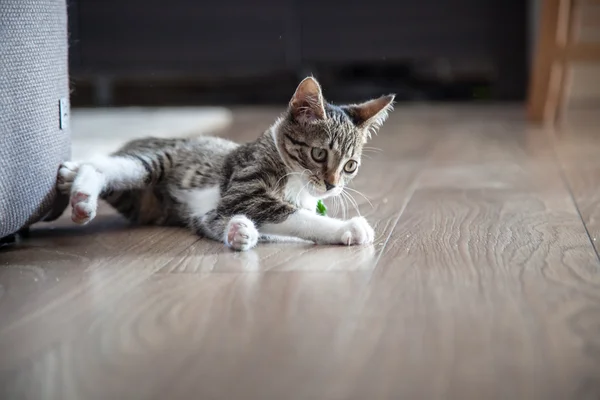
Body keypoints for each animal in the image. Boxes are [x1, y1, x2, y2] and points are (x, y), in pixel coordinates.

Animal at [55, 77, 394, 252]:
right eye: (319, 154)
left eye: (350, 165)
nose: (332, 185)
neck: (296, 183)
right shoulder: (244, 187)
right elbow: (296, 217)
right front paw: (348, 227)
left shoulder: (214, 211)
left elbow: (223, 221)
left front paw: (238, 231)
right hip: (158, 160)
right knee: (105, 165)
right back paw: (82, 194)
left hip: (142, 204)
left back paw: (73, 179)